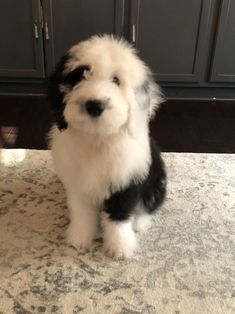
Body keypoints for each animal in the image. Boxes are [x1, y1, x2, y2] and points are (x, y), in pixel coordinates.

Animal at [47, 35, 165, 260]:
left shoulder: (126, 180)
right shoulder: (78, 184)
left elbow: (119, 217)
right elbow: (82, 213)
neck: (98, 139)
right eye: (81, 75)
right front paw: (79, 238)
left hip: (156, 180)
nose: (94, 105)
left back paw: (139, 223)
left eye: (116, 80)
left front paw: (120, 247)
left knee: (148, 205)